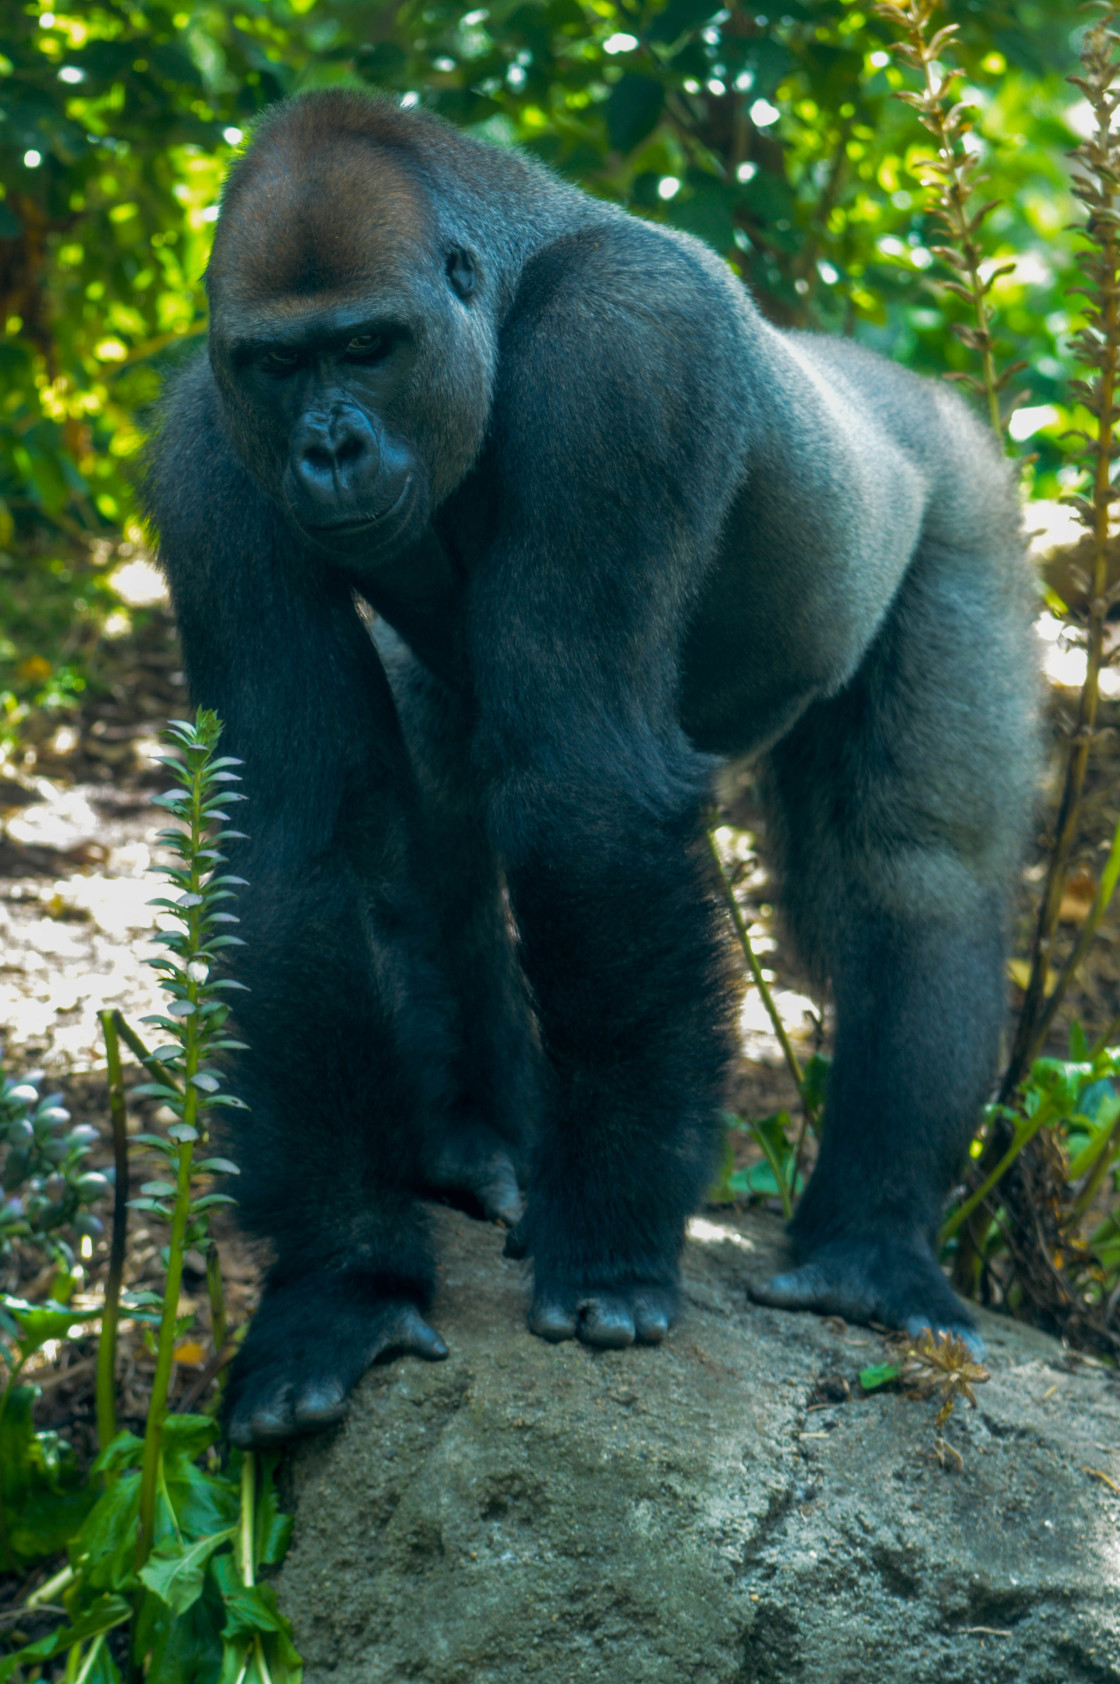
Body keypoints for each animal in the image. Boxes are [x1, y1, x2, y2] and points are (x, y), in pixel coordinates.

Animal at [142, 88, 1037, 1448]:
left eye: (367, 348)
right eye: (281, 365)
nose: (328, 448)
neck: (503, 292)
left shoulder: (628, 353)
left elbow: (583, 789)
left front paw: (611, 1236)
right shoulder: (210, 437)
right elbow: (304, 840)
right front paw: (344, 1280)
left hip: (964, 489)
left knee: (917, 870)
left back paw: (870, 1249)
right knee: (434, 835)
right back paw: (475, 1143)